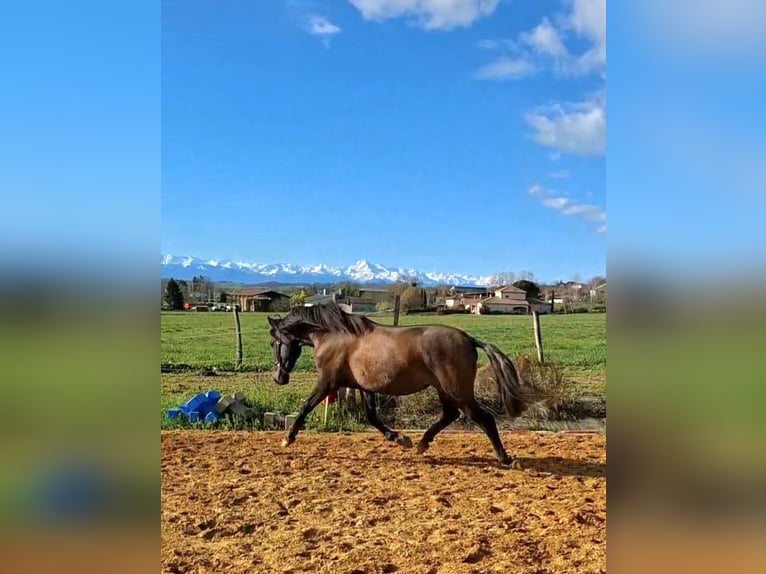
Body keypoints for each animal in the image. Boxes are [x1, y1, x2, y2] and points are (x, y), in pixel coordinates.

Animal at [268, 302, 537, 466]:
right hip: (445, 390)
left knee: (484, 419)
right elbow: (373, 417)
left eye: (273, 343)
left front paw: (287, 438)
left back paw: (505, 458)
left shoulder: (327, 382)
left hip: (458, 391)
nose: (278, 378)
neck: (334, 335)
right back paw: (421, 444)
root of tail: (470, 339)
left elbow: (305, 407)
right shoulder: (365, 387)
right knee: (450, 415)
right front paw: (400, 439)